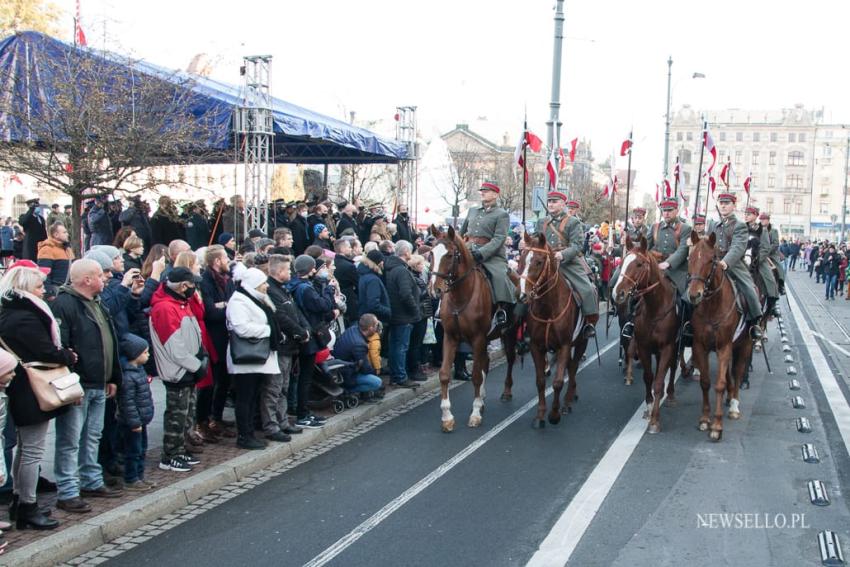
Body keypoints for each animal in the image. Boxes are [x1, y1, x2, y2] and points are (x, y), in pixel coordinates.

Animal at [424, 225, 516, 430]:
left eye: (450, 255)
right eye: (431, 254)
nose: (435, 290)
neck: (461, 295)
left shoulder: (478, 338)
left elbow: (475, 376)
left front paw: (474, 414)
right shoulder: (450, 337)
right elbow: (444, 374)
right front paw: (447, 417)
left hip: (510, 333)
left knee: (511, 359)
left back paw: (506, 393)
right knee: (486, 363)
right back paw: (482, 399)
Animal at [516, 233, 584, 428]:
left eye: (539, 261)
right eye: (521, 258)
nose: (521, 295)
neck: (548, 308)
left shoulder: (564, 345)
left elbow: (558, 382)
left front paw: (554, 415)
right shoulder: (536, 346)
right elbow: (540, 382)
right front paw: (540, 415)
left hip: (582, 341)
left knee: (573, 367)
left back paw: (567, 401)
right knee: (570, 366)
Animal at [612, 235, 680, 434]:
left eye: (639, 264)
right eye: (622, 261)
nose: (618, 293)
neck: (655, 308)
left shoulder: (667, 347)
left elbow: (658, 382)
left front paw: (655, 421)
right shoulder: (644, 346)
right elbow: (649, 377)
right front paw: (649, 409)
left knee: (673, 368)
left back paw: (671, 395)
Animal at [684, 232, 752, 444]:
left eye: (710, 260)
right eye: (690, 258)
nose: (694, 294)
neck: (713, 305)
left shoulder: (724, 347)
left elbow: (719, 384)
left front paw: (717, 425)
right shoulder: (700, 346)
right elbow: (706, 382)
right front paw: (705, 419)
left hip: (744, 344)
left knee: (737, 372)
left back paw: (734, 405)